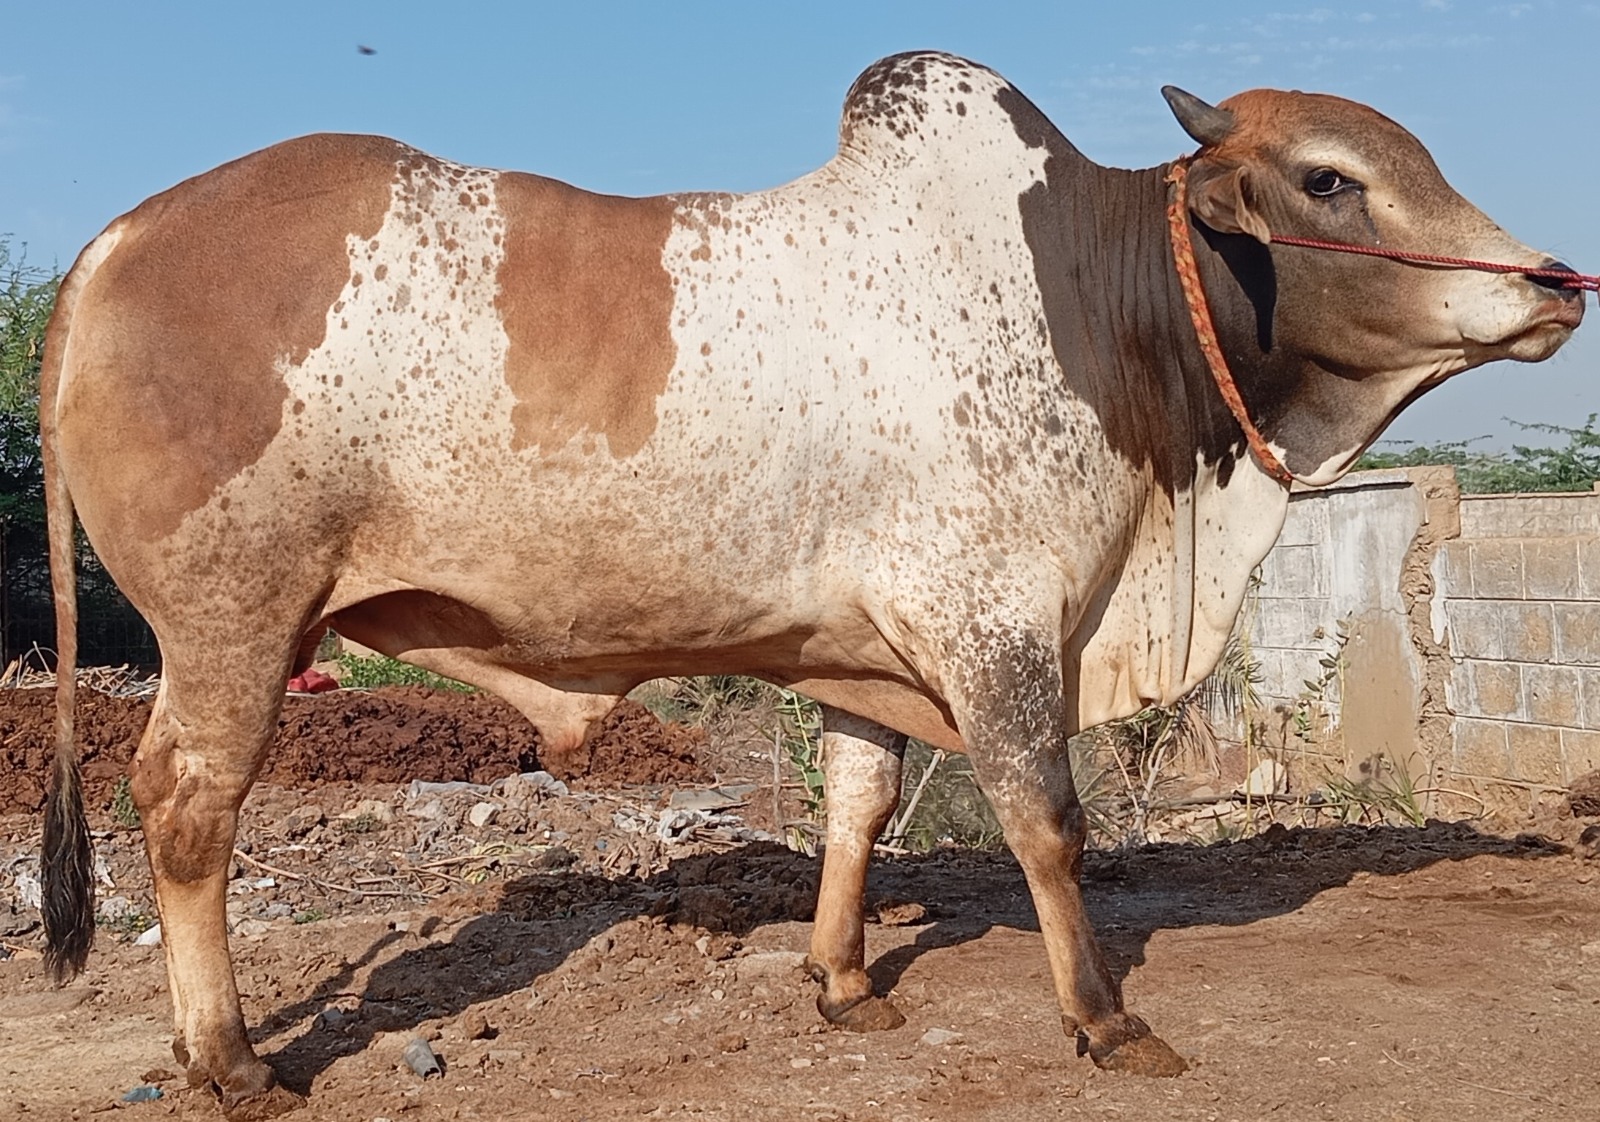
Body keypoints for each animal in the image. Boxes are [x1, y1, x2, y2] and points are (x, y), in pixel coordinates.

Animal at [37, 51, 1581, 1114]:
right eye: (1328, 179)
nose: (1554, 281)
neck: (1096, 306)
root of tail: (114, 240)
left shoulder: (862, 653)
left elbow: (858, 807)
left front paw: (841, 982)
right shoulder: (998, 622)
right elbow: (1049, 824)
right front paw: (1102, 1020)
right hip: (233, 624)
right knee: (184, 809)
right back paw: (231, 1059)